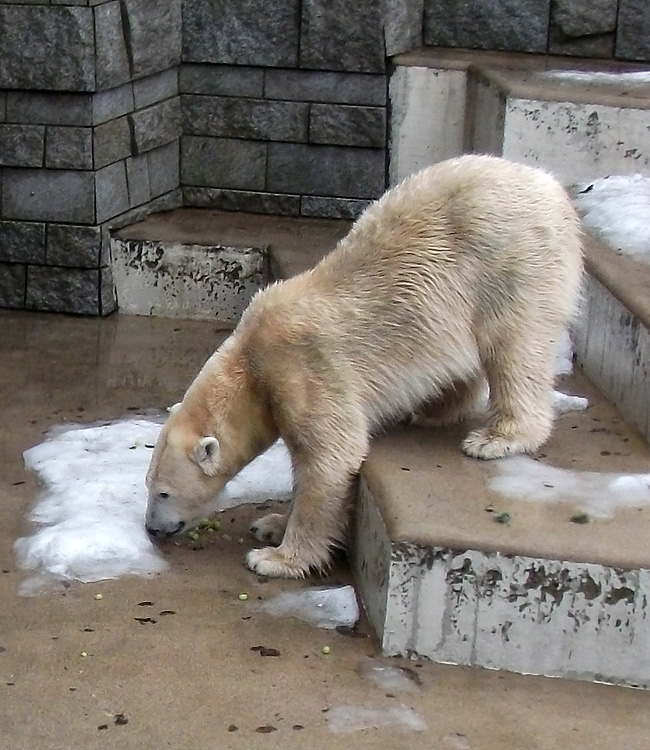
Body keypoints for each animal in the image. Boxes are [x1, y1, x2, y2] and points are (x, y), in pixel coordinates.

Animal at [144, 156, 580, 580]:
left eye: (163, 492)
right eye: (147, 484)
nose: (151, 528)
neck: (250, 367)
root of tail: (550, 186)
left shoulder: (301, 369)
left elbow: (330, 458)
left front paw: (274, 557)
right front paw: (270, 524)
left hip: (510, 257)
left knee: (514, 346)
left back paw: (496, 437)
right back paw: (432, 411)